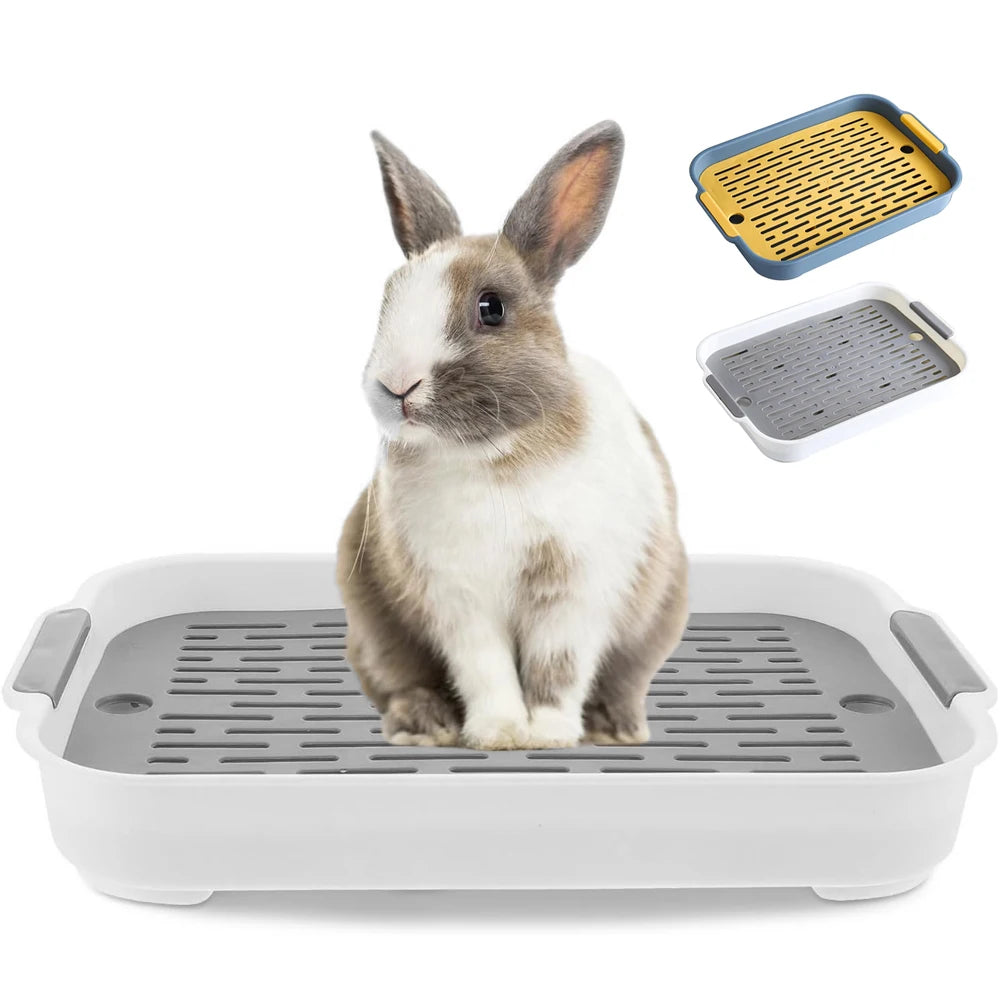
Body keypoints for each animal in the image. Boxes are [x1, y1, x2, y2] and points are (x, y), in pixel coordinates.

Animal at [337, 120, 688, 750]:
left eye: (491, 308)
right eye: (387, 299)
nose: (396, 385)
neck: (491, 456)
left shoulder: (574, 592)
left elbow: (558, 668)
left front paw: (547, 734)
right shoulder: (458, 599)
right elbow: (486, 668)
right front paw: (499, 733)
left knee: (625, 678)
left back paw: (616, 728)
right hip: (373, 630)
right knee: (400, 681)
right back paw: (425, 726)